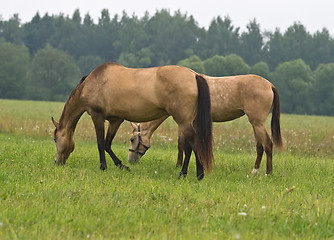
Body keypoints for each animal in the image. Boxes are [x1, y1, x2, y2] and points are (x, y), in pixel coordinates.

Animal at [52, 62, 214, 179]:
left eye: (55, 139)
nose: (57, 162)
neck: (92, 82)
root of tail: (194, 75)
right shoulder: (115, 120)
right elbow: (107, 143)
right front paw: (122, 165)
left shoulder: (97, 116)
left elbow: (100, 143)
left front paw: (103, 167)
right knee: (189, 147)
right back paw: (185, 174)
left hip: (183, 122)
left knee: (194, 145)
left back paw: (197, 174)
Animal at [129, 74, 284, 176]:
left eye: (132, 139)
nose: (131, 160)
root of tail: (269, 85)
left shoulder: (185, 123)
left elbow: (182, 144)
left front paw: (179, 165)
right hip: (256, 124)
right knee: (260, 146)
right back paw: (255, 171)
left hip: (258, 123)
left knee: (268, 144)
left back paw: (268, 173)